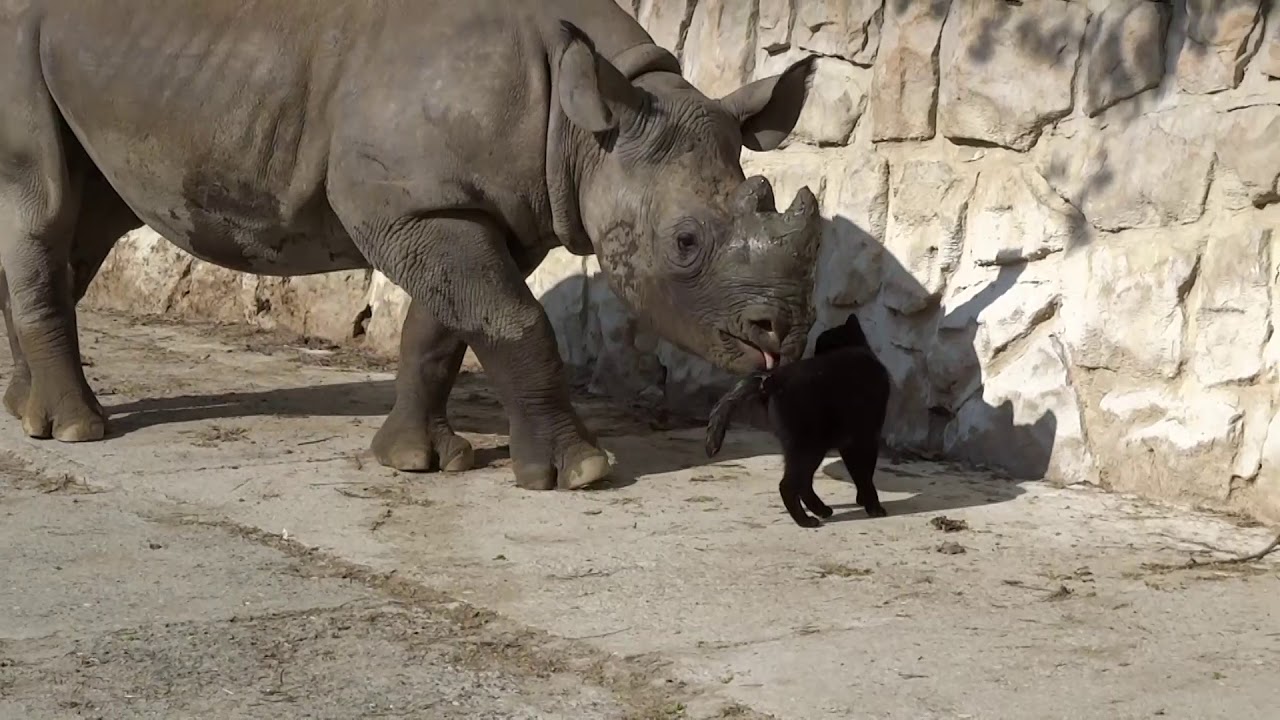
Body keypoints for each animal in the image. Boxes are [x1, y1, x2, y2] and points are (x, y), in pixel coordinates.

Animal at [701, 311, 890, 525]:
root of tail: (772, 378)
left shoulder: (850, 443)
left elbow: (859, 472)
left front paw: (863, 500)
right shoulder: (865, 437)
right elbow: (865, 473)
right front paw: (873, 506)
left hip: (806, 448)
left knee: (803, 483)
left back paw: (821, 511)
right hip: (808, 447)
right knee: (789, 484)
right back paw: (806, 521)